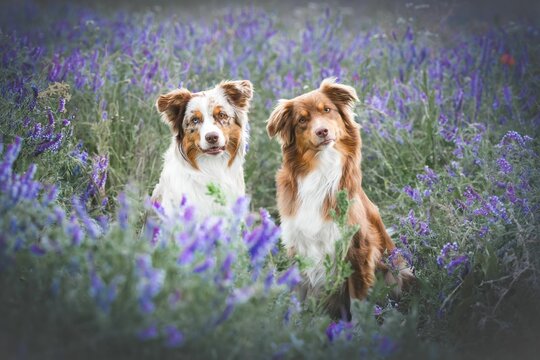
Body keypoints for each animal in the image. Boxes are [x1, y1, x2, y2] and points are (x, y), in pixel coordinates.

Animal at [266, 77, 414, 316]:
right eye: (302, 120)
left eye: (327, 110)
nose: (322, 131)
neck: (321, 170)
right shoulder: (299, 247)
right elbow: (301, 297)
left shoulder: (357, 248)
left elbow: (358, 301)